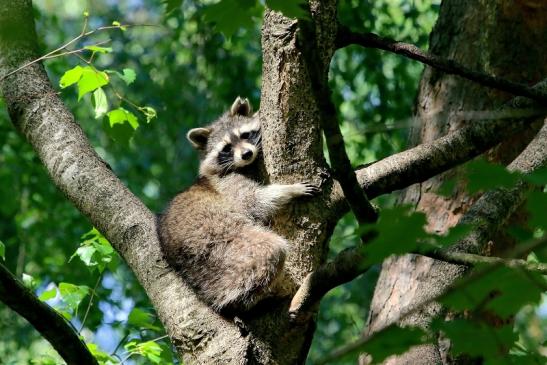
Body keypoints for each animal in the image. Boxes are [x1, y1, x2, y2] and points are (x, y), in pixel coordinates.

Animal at [158, 96, 318, 312]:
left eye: (245, 135)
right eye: (226, 148)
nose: (247, 154)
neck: (245, 166)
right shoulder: (227, 183)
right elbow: (252, 201)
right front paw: (289, 190)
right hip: (221, 245)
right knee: (271, 250)